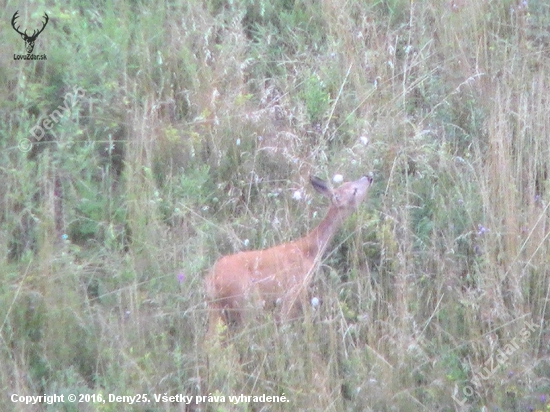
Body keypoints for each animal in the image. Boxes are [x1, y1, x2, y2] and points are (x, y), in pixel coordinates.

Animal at [207, 173, 376, 332]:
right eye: (354, 190)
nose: (369, 177)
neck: (310, 250)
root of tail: (212, 280)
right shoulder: (294, 289)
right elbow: (286, 321)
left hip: (218, 307)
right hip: (246, 300)